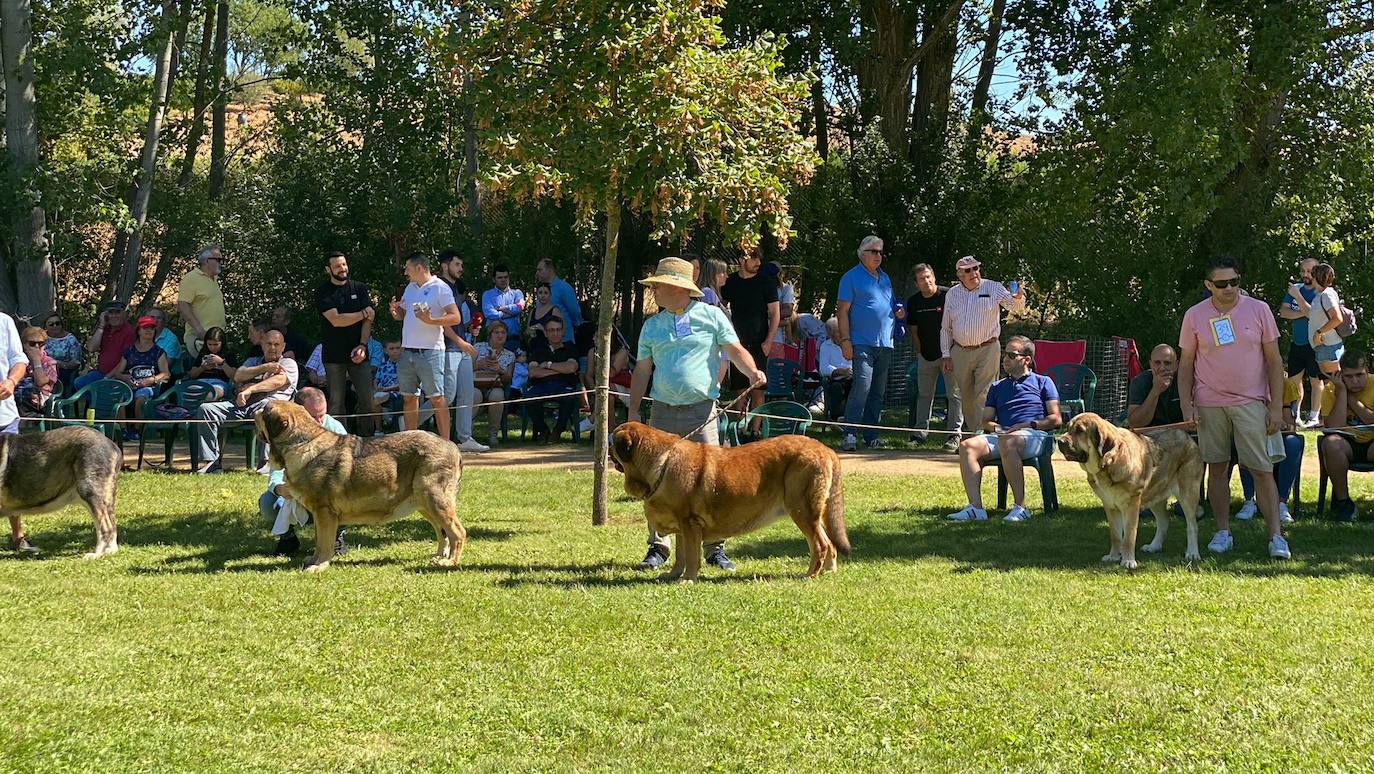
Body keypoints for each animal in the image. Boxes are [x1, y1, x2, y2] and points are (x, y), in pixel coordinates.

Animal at [258, 404, 467, 571]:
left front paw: (319, 566)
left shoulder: (324, 513)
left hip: (435, 499)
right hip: (424, 503)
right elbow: (318, 542)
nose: (256, 409)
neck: (302, 443)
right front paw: (314, 560)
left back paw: (449, 562)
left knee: (457, 532)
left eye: (266, 409)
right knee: (442, 532)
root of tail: (452, 446)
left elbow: (324, 543)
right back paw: (439, 557)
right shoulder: (319, 515)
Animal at [612, 423, 846, 582]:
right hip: (812, 515)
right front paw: (673, 574)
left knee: (820, 544)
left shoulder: (690, 524)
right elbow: (680, 555)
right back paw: (829, 570)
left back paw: (810, 574)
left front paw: (688, 579)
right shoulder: (682, 528)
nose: (607, 446)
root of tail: (825, 449)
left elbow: (691, 556)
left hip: (802, 511)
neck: (663, 463)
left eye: (613, 442)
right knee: (830, 543)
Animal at [1055, 412, 1198, 569]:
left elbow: (1129, 536)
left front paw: (1128, 561)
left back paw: (1192, 553)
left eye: (1080, 431)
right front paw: (1113, 556)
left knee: (1192, 525)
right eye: (1068, 428)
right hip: (1155, 496)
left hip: (1188, 494)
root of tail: (1188, 436)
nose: (1059, 441)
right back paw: (1154, 546)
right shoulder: (1110, 506)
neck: (1109, 462)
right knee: (1164, 521)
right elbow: (1116, 536)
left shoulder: (1131, 506)